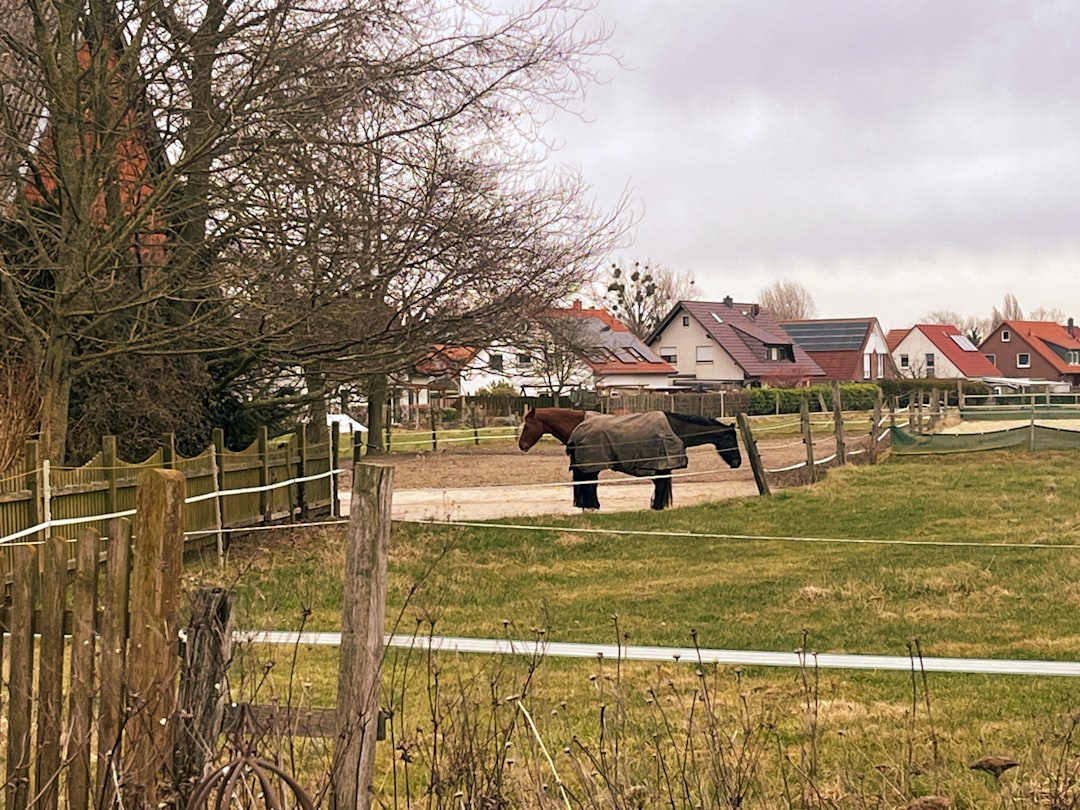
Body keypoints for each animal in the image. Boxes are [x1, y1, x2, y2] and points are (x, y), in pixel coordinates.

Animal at [518, 407, 742, 510]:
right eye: (730, 438)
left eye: (527, 426)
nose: (738, 462)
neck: (676, 429)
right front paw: (658, 506)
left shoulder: (661, 465)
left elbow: (661, 486)